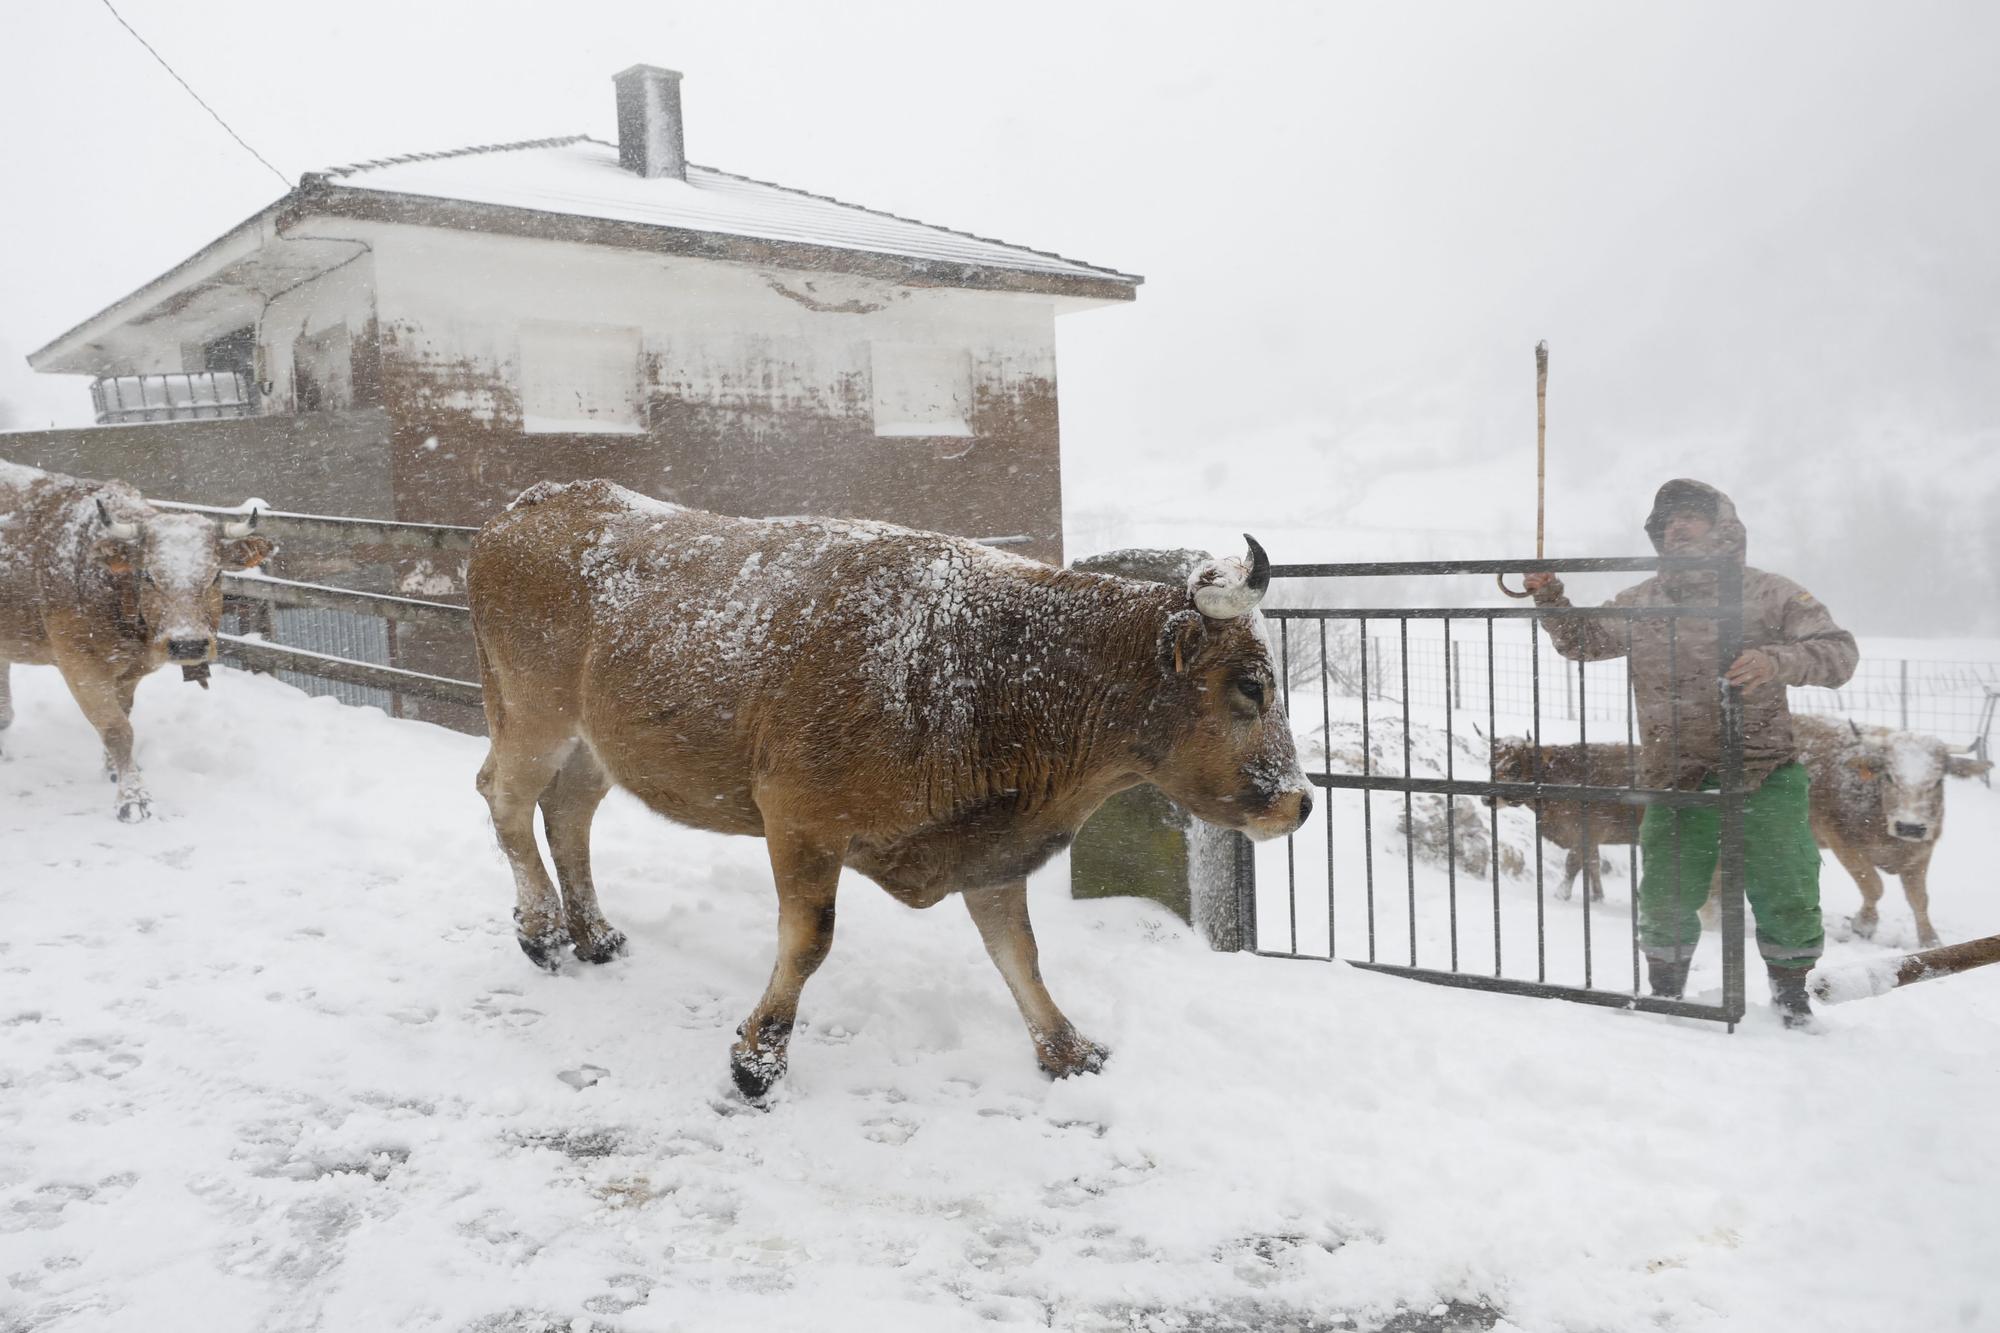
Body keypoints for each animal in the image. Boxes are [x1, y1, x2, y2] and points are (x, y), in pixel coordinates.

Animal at [0, 460, 274, 820]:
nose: (188, 644)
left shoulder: (130, 672)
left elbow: (124, 715)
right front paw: (133, 797)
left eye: (215, 575)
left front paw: (114, 770)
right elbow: (117, 730)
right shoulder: (79, 665)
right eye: (148, 575)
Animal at [466, 482, 1312, 1096]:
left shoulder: (990, 845)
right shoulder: (801, 823)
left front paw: (1068, 1050)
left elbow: (1020, 952)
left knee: (566, 815)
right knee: (504, 798)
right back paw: (542, 932)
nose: (1300, 801)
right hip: (533, 722)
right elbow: (809, 941)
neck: (989, 662)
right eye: (1251, 684)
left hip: (591, 748)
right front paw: (757, 1062)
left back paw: (596, 935)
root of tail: (528, 506)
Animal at [1488, 736, 1640, 904]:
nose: (1486, 798)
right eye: (1490, 762)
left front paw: (1561, 895)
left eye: (1515, 766)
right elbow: (1593, 864)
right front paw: (1598, 897)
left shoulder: (1588, 833)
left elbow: (1573, 863)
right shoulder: (1590, 839)